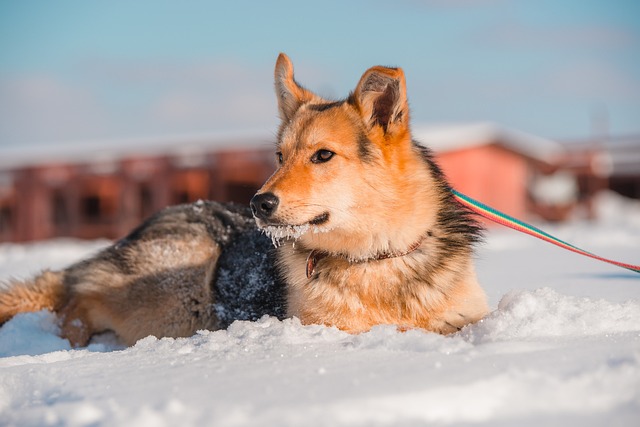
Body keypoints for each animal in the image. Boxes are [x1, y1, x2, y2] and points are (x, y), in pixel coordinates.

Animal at [0, 53, 488, 348]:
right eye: (279, 157)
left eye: (323, 155)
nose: (258, 204)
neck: (376, 256)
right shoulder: (332, 329)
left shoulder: (466, 315)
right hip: (179, 300)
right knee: (77, 299)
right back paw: (69, 337)